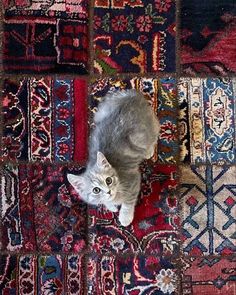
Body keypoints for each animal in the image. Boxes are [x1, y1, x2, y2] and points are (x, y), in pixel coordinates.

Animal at [67, 89, 159, 227]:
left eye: (108, 180)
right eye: (96, 190)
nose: (108, 191)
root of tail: (131, 96)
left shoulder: (133, 181)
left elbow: (128, 202)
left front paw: (125, 217)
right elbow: (106, 202)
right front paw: (111, 206)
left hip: (144, 133)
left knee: (154, 135)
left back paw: (149, 151)